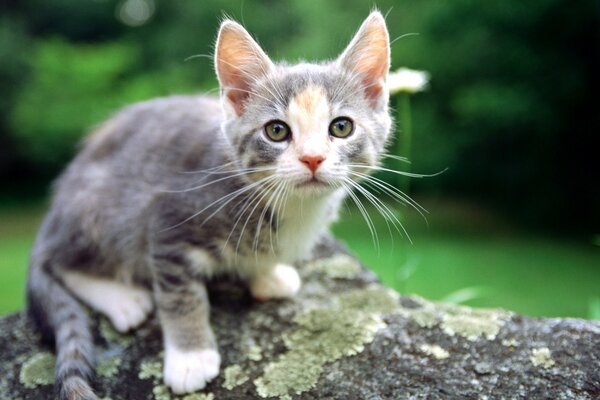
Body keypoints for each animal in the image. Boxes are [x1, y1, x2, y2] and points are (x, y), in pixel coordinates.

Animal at [27, 10, 394, 398]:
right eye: (276, 131)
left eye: (341, 127)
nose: (312, 158)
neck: (292, 207)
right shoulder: (168, 218)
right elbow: (181, 294)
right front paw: (191, 357)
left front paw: (266, 273)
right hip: (101, 209)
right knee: (61, 263)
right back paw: (124, 300)